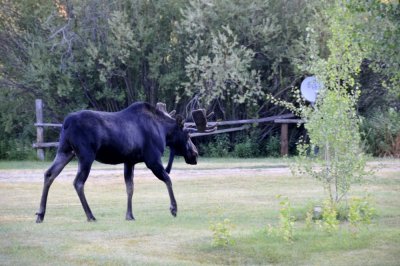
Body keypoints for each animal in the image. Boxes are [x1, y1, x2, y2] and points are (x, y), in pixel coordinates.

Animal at [35, 102, 214, 222]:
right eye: (188, 134)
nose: (195, 154)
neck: (163, 131)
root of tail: (65, 123)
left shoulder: (129, 161)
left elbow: (130, 187)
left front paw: (129, 215)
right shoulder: (152, 160)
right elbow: (168, 179)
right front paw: (174, 208)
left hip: (65, 151)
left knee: (49, 174)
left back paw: (40, 214)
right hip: (86, 155)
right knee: (78, 182)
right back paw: (90, 215)